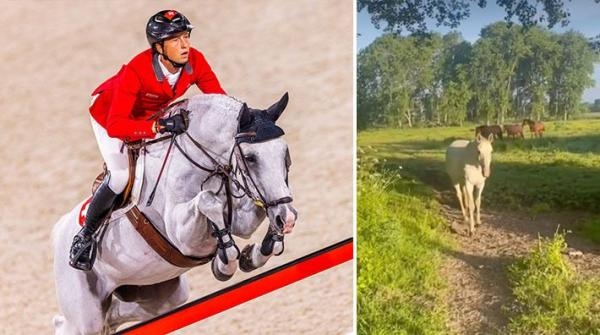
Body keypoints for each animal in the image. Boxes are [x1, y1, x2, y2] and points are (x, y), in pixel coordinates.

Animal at [51, 93, 298, 334]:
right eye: (250, 158)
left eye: (285, 153)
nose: (287, 219)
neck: (200, 162)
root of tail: (59, 229)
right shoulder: (183, 239)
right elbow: (208, 201)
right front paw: (225, 261)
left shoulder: (238, 219)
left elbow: (250, 215)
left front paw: (260, 249)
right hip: (85, 317)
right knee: (72, 325)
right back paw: (80, 248)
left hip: (160, 295)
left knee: (113, 316)